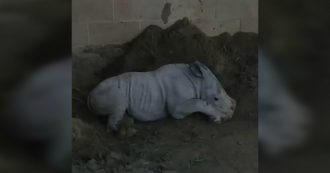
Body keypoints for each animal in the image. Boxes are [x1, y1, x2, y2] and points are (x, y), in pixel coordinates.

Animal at [89, 61, 236, 130]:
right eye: (216, 98)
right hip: (111, 91)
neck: (197, 81)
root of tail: (89, 96)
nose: (232, 111)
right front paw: (220, 117)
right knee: (120, 103)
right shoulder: (177, 109)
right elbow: (199, 102)